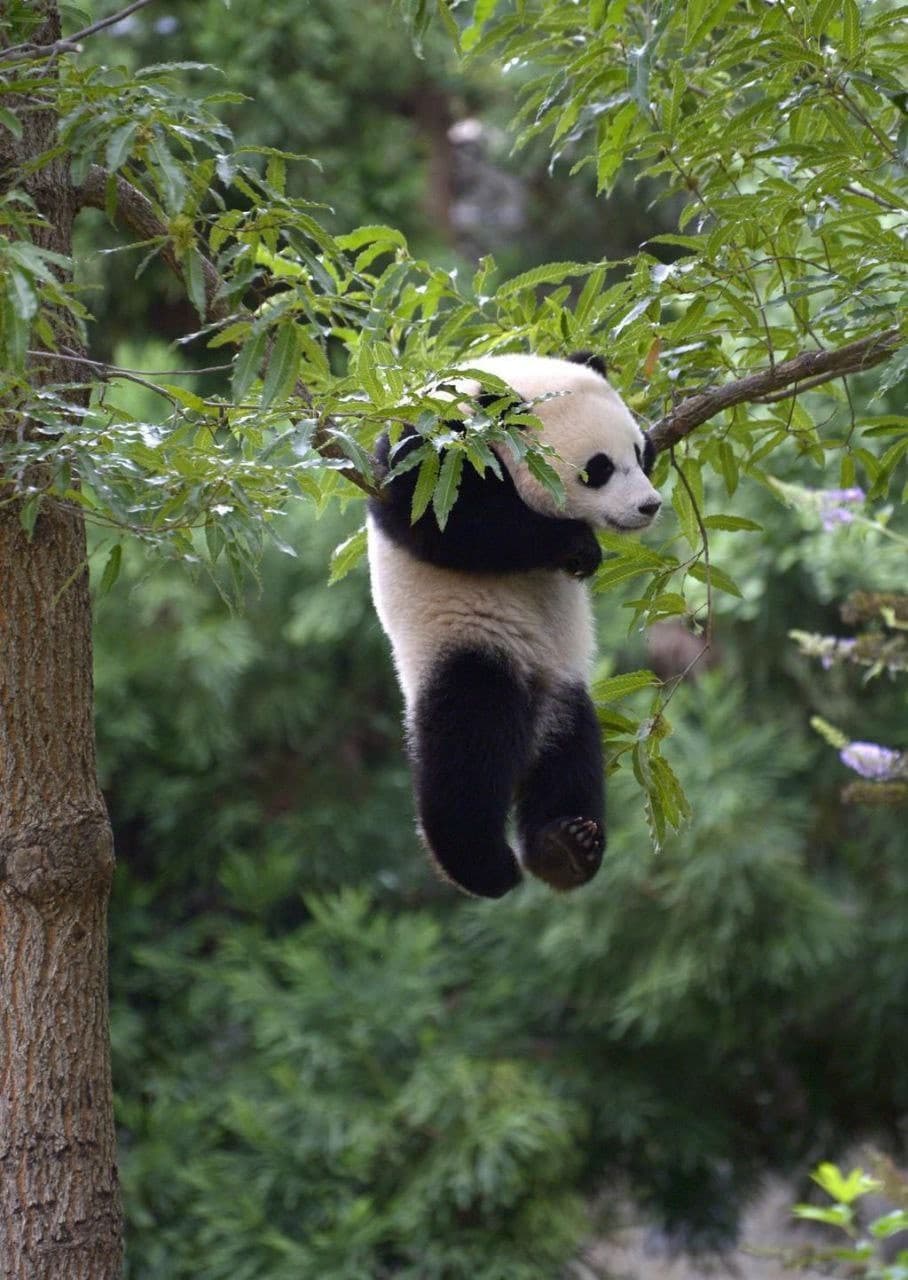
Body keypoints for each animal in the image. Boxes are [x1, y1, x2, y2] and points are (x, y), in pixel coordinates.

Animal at [366, 350, 660, 901]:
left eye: (639, 451)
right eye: (598, 469)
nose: (649, 505)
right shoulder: (432, 451)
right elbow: (447, 521)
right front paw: (575, 545)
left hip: (563, 685)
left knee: (571, 755)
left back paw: (565, 847)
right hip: (465, 643)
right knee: (467, 749)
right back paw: (483, 866)